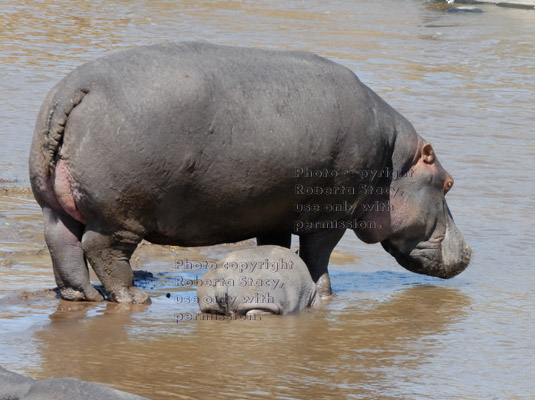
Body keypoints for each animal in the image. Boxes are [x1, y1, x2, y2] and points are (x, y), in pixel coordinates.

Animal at [30, 40, 474, 304]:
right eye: (449, 183)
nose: (469, 251)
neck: (395, 163)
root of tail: (75, 89)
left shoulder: (272, 211)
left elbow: (277, 248)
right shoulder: (331, 217)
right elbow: (317, 256)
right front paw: (326, 296)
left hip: (54, 205)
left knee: (62, 244)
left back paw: (80, 297)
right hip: (118, 216)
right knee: (101, 250)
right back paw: (135, 299)